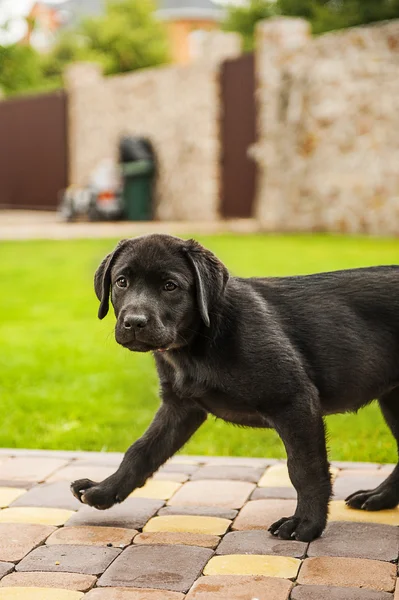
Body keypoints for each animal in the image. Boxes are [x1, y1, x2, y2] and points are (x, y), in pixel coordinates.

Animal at [70, 232, 399, 540]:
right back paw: (379, 497)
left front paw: (306, 524)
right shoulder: (179, 407)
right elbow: (141, 450)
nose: (134, 322)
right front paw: (104, 490)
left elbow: (304, 468)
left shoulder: (294, 401)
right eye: (122, 282)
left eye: (170, 286)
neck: (200, 338)